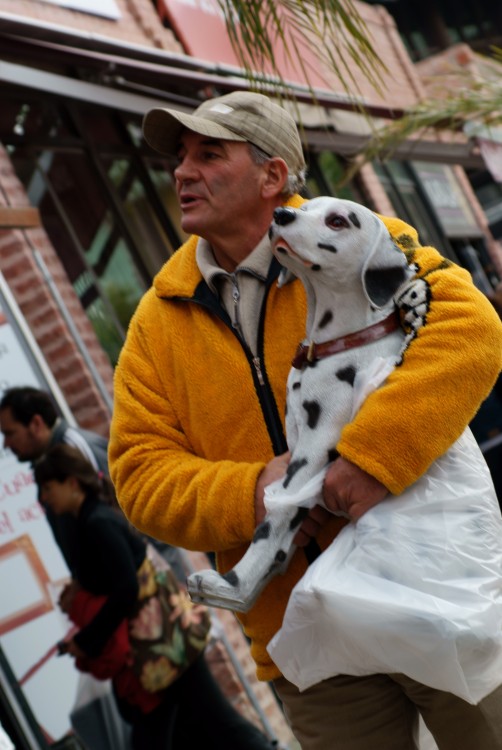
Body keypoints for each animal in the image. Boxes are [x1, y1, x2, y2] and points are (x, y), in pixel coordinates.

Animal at [186, 197, 422, 612]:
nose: (281, 213)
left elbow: (273, 520)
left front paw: (233, 585)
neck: (343, 343)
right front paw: (250, 588)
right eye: (308, 205)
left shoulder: (312, 452)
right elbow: (282, 541)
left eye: (338, 220)